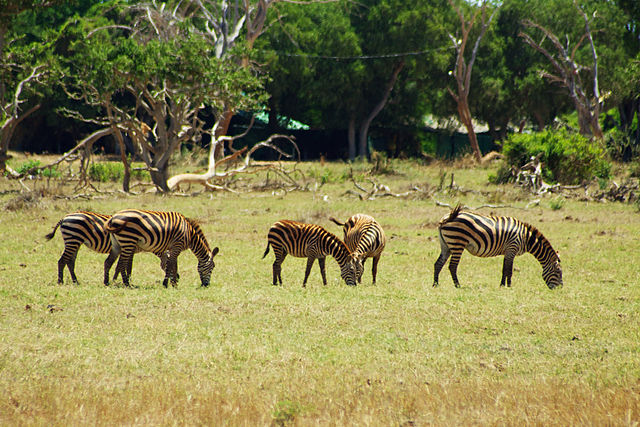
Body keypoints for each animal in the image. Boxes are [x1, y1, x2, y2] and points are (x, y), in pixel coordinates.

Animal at [44, 212, 172, 286]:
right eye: (168, 264)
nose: (175, 278)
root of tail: (64, 217)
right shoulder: (130, 247)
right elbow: (126, 266)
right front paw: (123, 280)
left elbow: (122, 265)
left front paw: (117, 280)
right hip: (73, 239)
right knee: (62, 260)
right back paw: (60, 281)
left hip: (75, 241)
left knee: (70, 261)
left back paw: (76, 281)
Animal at [432, 205, 564, 290]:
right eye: (558, 272)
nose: (560, 289)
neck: (526, 238)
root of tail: (446, 217)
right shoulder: (512, 248)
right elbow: (509, 270)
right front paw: (509, 286)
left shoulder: (508, 251)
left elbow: (504, 269)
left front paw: (502, 285)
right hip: (457, 243)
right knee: (452, 266)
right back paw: (458, 286)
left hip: (446, 245)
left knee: (438, 263)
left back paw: (435, 284)